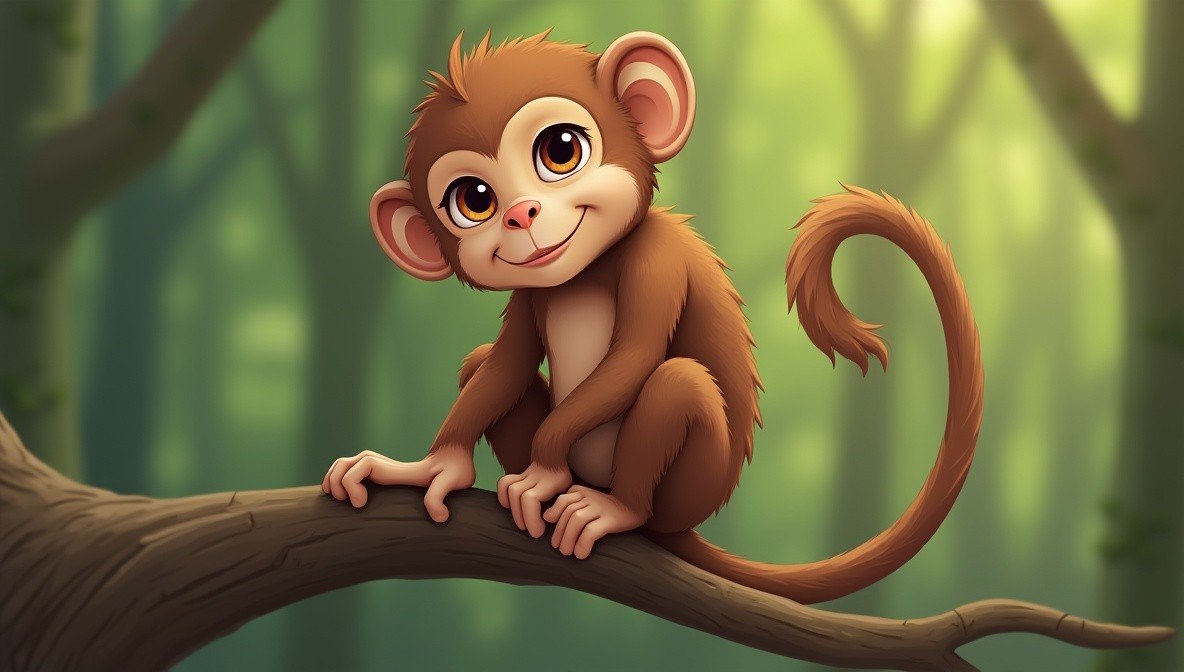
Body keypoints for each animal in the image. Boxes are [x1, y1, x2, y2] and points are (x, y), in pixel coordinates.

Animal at [322, 30, 982, 605]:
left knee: (677, 383)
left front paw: (543, 469)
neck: (585, 271)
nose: (520, 213)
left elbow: (636, 356)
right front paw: (436, 468)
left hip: (691, 486)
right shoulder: (530, 293)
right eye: (473, 200)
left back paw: (616, 510)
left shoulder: (656, 257)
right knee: (479, 362)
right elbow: (503, 363)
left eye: (560, 150)